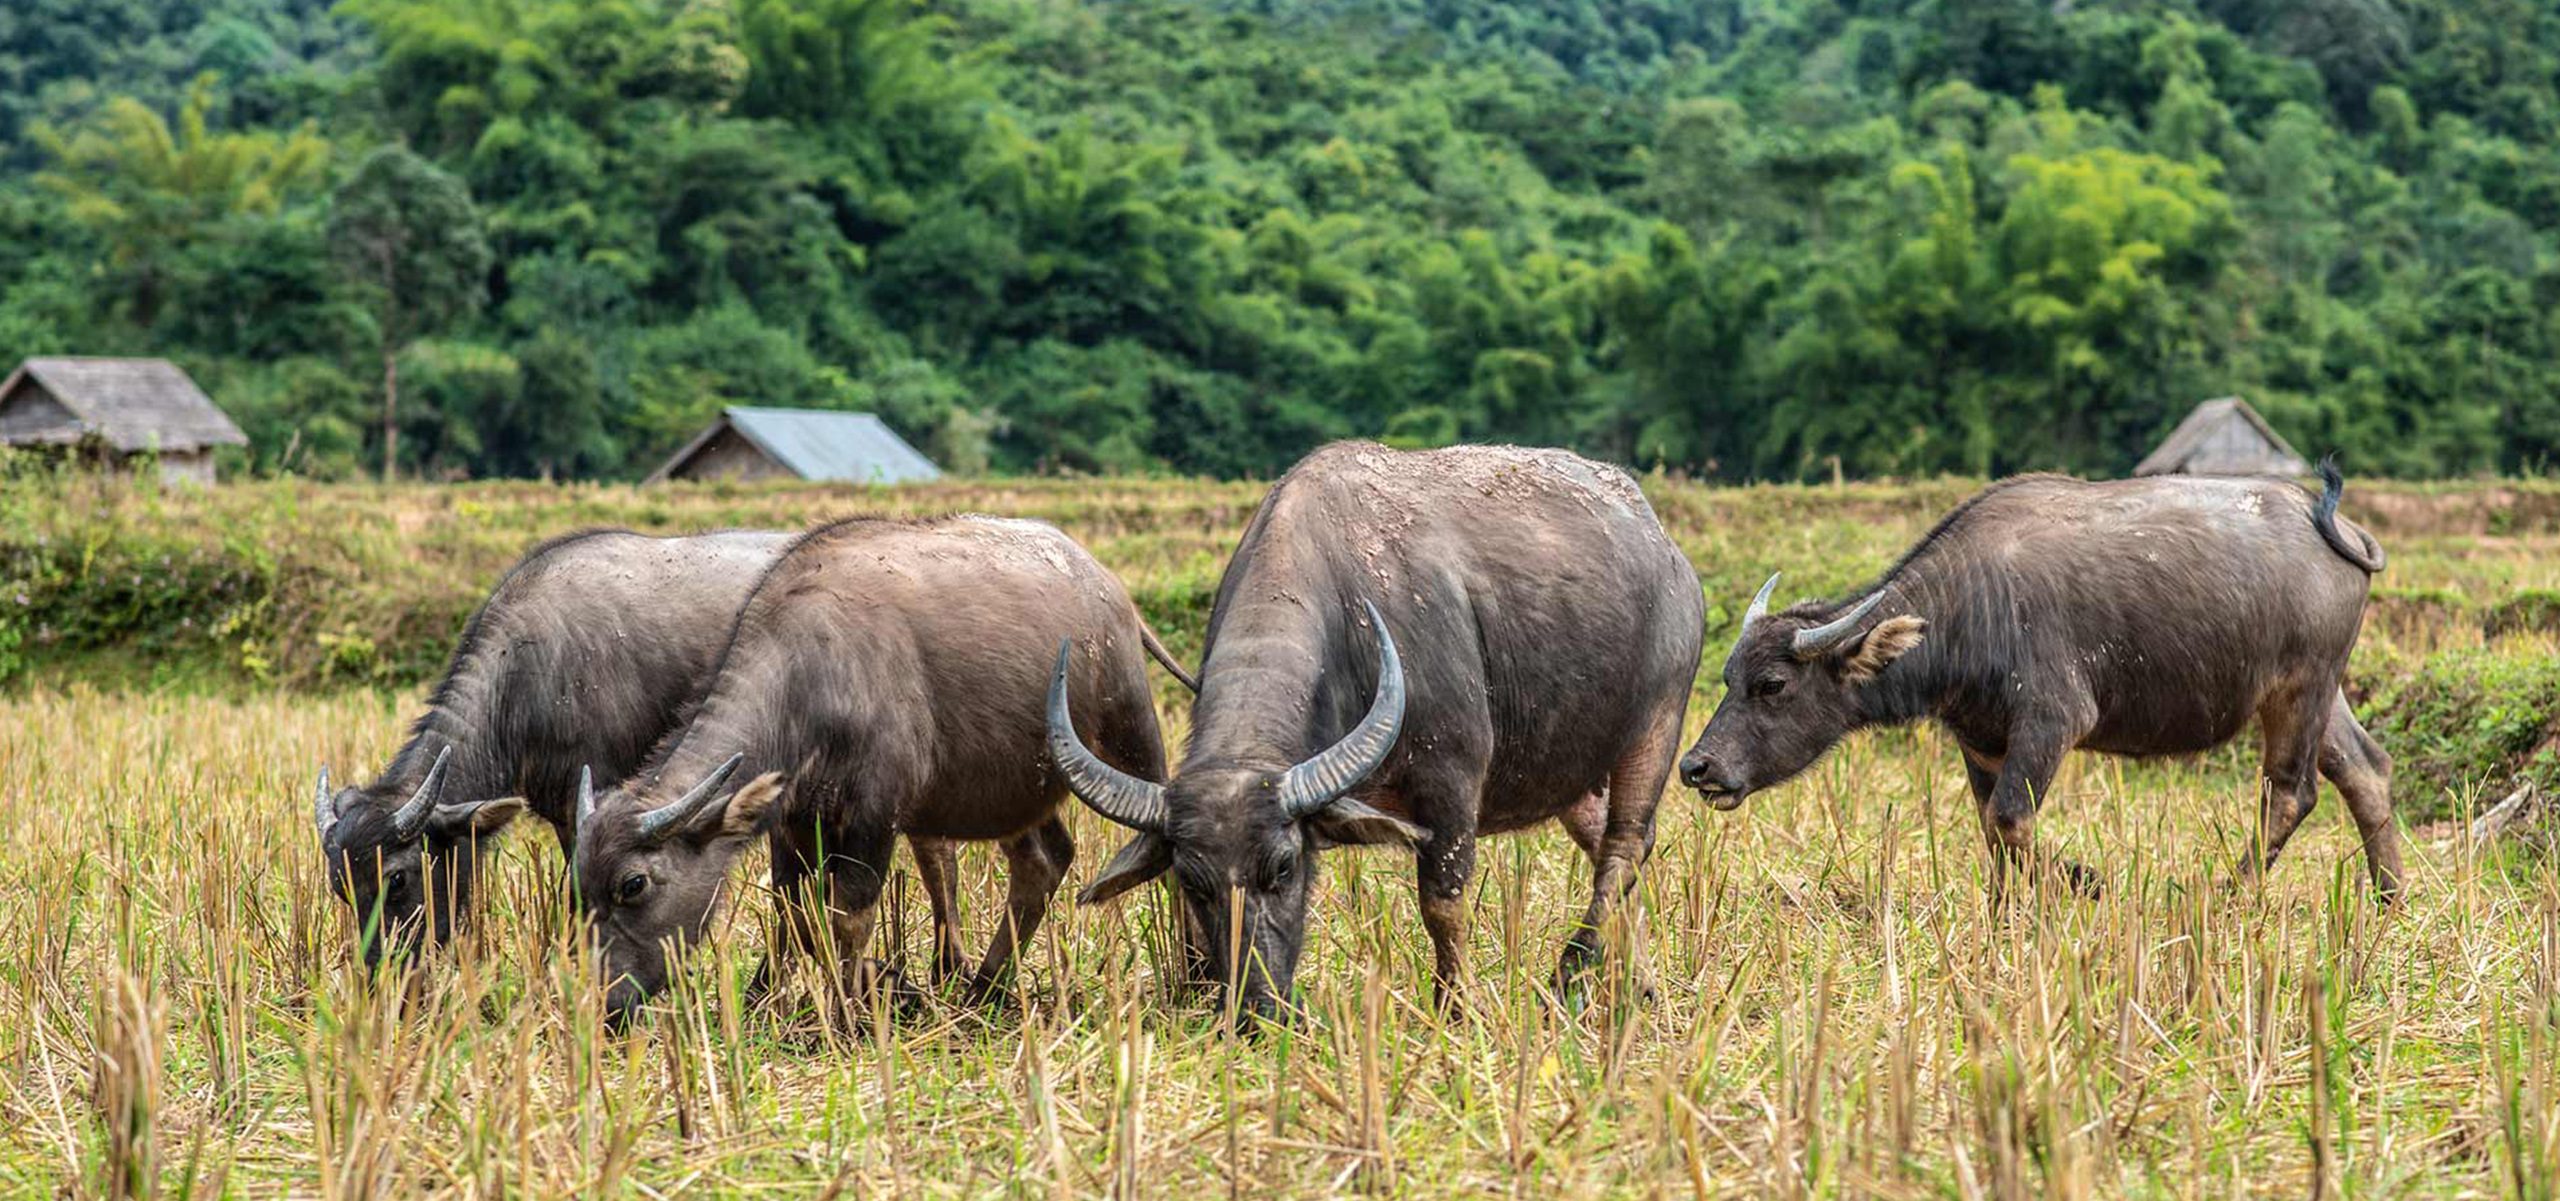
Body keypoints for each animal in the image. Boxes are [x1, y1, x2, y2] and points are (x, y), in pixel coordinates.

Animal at [570, 509, 1177, 1024]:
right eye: (580, 889)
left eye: (633, 884)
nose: (608, 1005)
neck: (808, 676)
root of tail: (1104, 584)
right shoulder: (797, 820)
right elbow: (794, 911)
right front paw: (768, 1003)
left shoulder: (874, 816)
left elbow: (848, 916)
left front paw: (845, 1012)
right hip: (1018, 787)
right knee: (1044, 860)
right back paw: (983, 990)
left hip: (1127, 728)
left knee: (1158, 842)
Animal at [1049, 440, 1710, 1019]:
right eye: (1192, 880)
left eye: (1283, 867)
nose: (1256, 1009)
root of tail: (1666, 550)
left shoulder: (1451, 784)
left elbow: (1442, 905)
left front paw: (1456, 1006)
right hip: (1574, 770)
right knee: (1611, 849)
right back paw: (1639, 982)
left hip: (1657, 723)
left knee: (1624, 846)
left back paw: (1571, 970)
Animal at [1679, 458, 2396, 901]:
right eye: (1727, 675)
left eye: (1773, 684)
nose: (1696, 766)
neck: (1965, 610)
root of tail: (2330, 522)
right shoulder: (1980, 741)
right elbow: (1991, 830)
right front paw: (2008, 912)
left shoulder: (2052, 720)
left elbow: (2010, 819)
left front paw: (2086, 880)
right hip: (2322, 691)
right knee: (2365, 769)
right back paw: (2389, 898)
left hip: (2301, 687)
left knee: (2291, 792)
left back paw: (2226, 891)